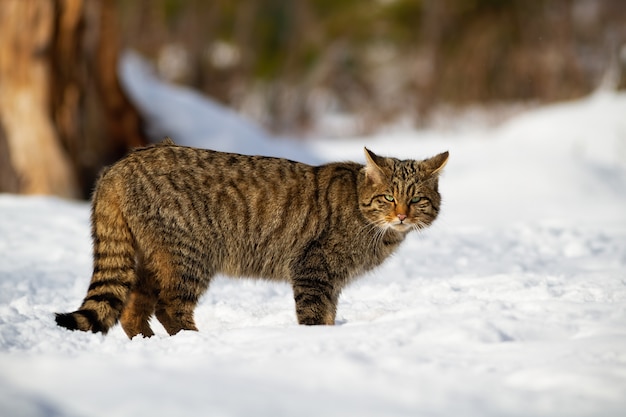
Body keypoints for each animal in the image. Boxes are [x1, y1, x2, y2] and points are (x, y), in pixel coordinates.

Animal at [53, 138, 446, 336]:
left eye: (416, 199)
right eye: (389, 198)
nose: (402, 215)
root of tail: (120, 165)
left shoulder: (331, 281)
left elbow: (330, 317)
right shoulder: (314, 271)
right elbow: (315, 317)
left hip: (156, 257)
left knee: (133, 311)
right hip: (189, 254)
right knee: (169, 307)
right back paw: (194, 342)